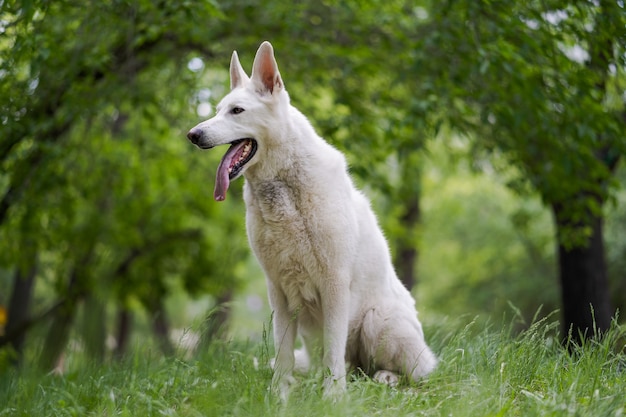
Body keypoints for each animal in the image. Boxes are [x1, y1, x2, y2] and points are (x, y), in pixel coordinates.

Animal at [188, 41, 436, 396]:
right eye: (218, 109)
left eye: (237, 111)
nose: (193, 135)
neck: (283, 188)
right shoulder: (277, 290)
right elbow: (283, 352)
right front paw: (279, 393)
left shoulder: (334, 284)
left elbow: (334, 350)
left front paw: (333, 396)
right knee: (340, 365)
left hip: (379, 322)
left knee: (411, 372)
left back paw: (384, 377)